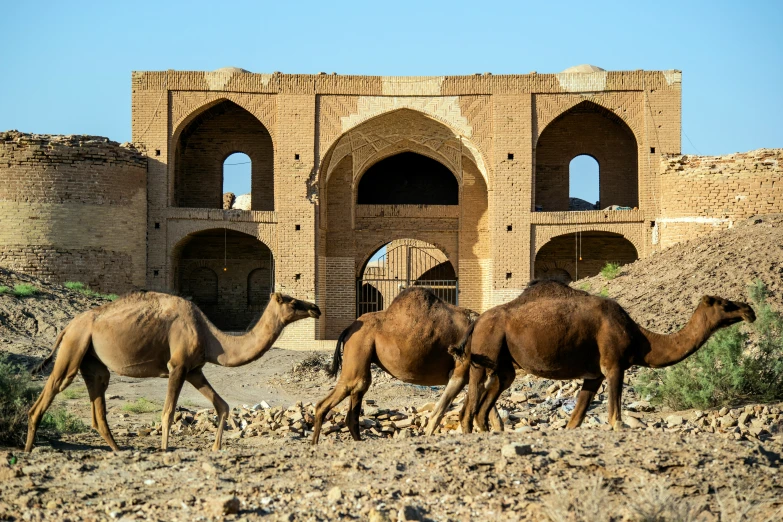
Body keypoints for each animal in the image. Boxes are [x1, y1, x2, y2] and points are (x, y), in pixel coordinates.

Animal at [26, 290, 322, 448]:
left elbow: (223, 405)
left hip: (91, 359)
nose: (315, 308)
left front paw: (216, 448)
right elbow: (168, 412)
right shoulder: (177, 366)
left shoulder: (194, 370)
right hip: (74, 347)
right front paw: (165, 450)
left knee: (98, 398)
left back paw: (119, 450)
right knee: (50, 391)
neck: (211, 337)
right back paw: (28, 449)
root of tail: (67, 325)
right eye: (292, 301)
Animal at [310, 284, 500, 442]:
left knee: (356, 399)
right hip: (358, 346)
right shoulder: (461, 368)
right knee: (333, 398)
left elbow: (491, 416)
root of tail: (348, 329)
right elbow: (439, 413)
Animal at [454, 280, 760, 430]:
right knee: (468, 411)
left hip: (504, 364)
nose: (749, 310)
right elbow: (616, 419)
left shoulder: (593, 376)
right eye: (724, 304)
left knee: (484, 407)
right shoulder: (614, 365)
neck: (641, 338)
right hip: (484, 352)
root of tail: (476, 322)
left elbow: (575, 421)